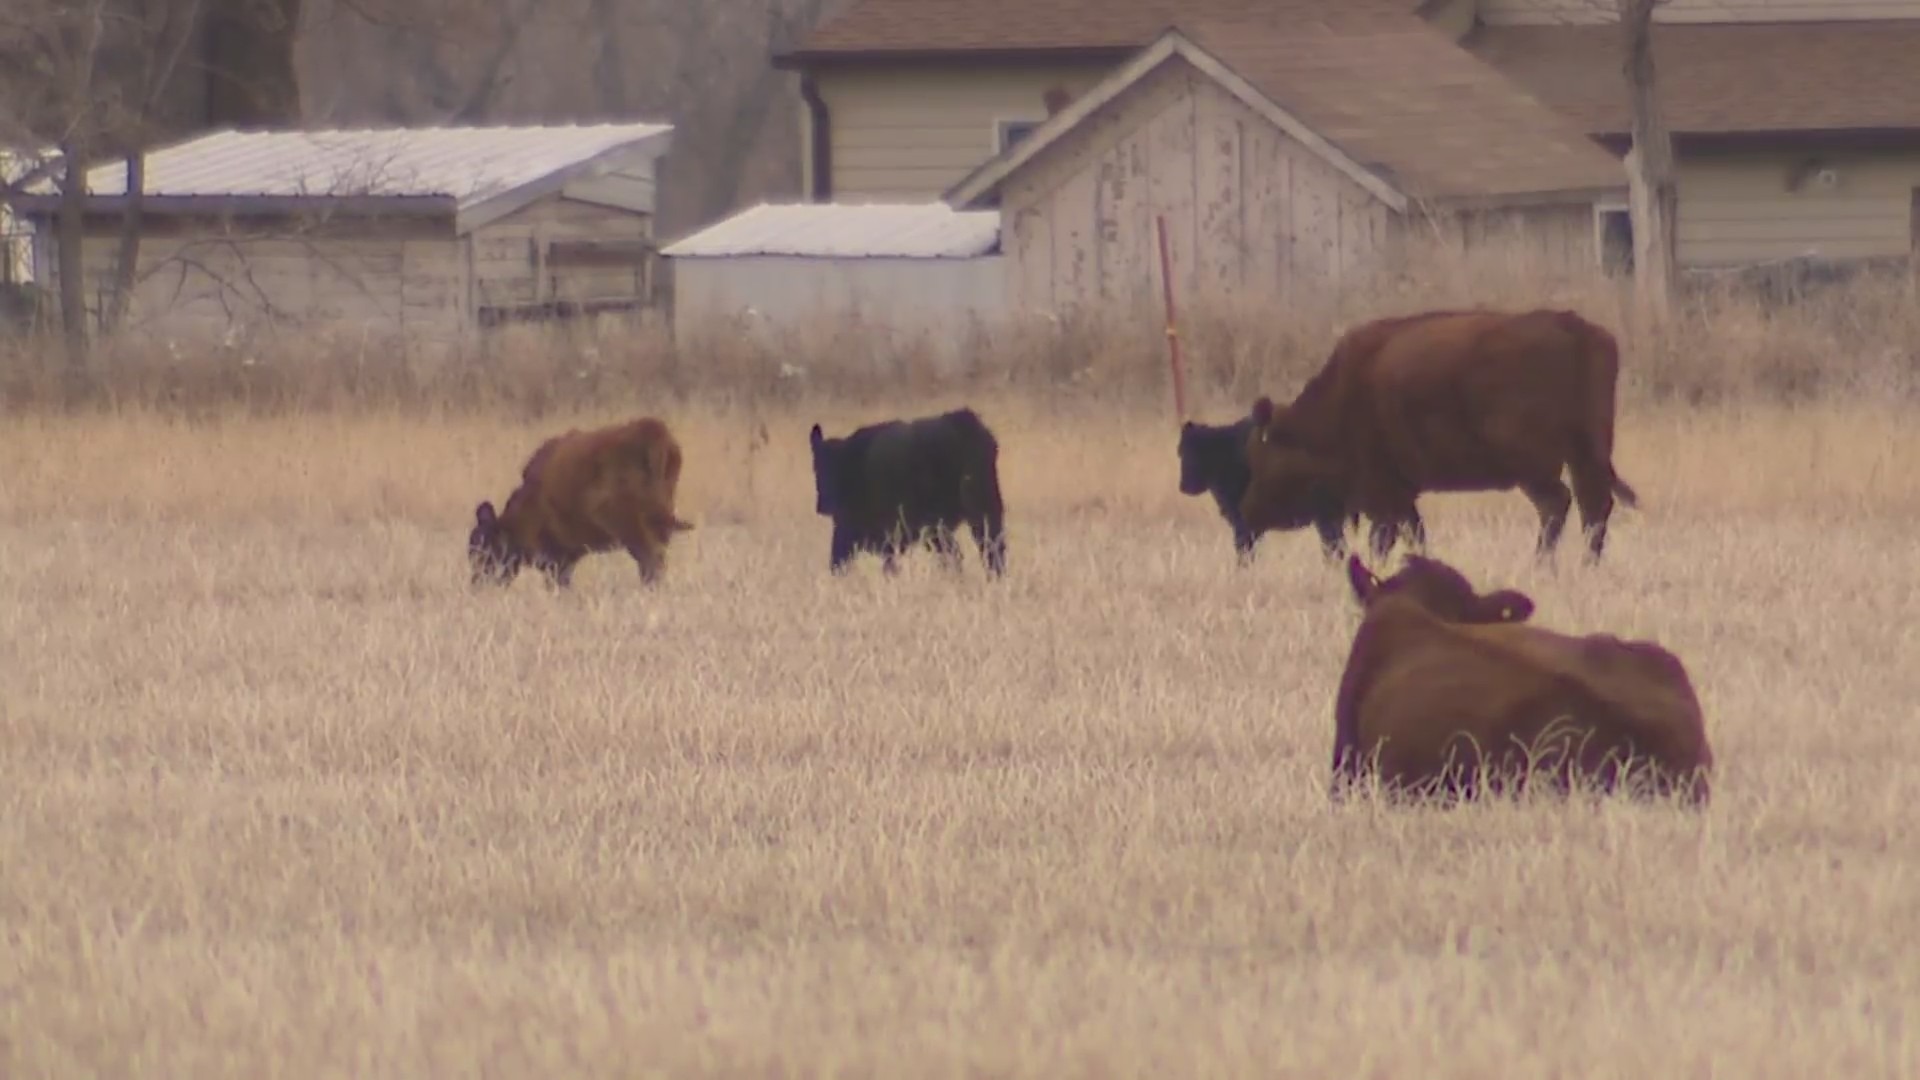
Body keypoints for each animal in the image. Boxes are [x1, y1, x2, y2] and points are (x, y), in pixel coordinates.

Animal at [468, 413, 695, 588]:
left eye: (481, 549)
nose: (476, 584)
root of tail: (653, 430)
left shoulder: (556, 558)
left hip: (633, 528)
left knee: (651, 564)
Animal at [806, 405, 1013, 576]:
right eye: (816, 467)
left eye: (837, 469)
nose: (823, 505)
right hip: (984, 512)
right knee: (989, 550)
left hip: (949, 521)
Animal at [1236, 303, 1643, 553]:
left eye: (1263, 458)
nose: (1247, 514)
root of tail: (1570, 324)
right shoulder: (1402, 495)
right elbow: (1415, 536)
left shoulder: (1382, 492)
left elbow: (1384, 540)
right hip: (1587, 452)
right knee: (1594, 506)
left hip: (1532, 464)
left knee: (1559, 503)